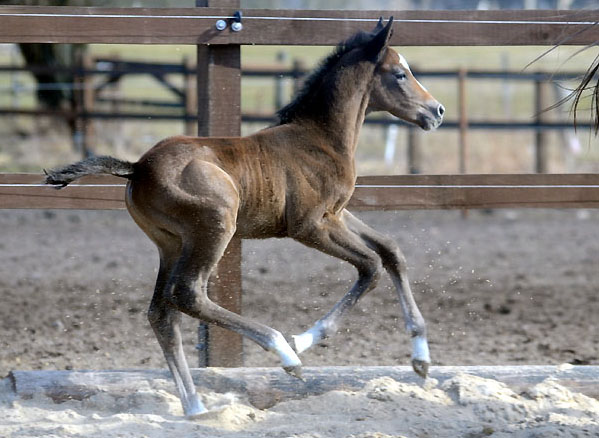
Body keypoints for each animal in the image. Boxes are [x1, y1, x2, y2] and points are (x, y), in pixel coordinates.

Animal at [44, 17, 442, 416]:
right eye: (399, 74)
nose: (436, 111)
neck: (320, 140)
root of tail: (137, 168)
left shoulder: (337, 214)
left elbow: (391, 250)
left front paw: (421, 360)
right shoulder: (311, 225)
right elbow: (371, 266)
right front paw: (305, 339)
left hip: (171, 244)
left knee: (162, 313)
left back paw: (195, 407)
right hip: (215, 227)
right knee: (188, 294)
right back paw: (284, 354)